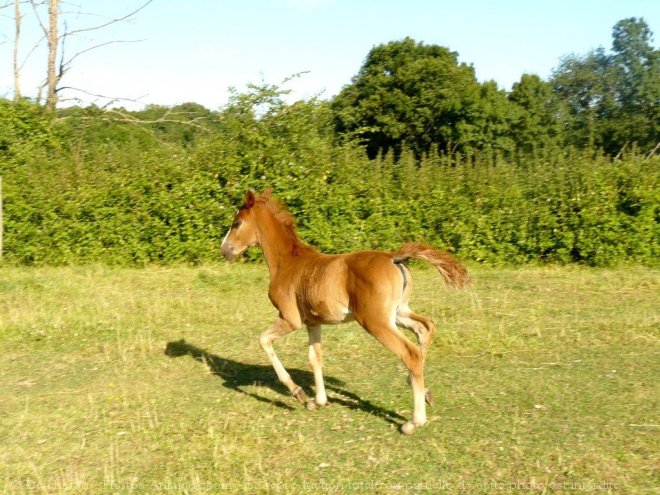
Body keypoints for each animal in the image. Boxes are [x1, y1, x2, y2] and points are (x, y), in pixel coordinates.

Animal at [222, 190, 470, 434]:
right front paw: (317, 401)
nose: (224, 250)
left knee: (410, 352)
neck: (287, 262)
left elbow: (264, 340)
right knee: (425, 327)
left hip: (375, 320)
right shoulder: (313, 322)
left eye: (237, 223)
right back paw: (421, 389)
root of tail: (394, 258)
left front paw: (298, 393)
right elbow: (315, 358)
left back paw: (413, 421)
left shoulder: (290, 318)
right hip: (399, 312)